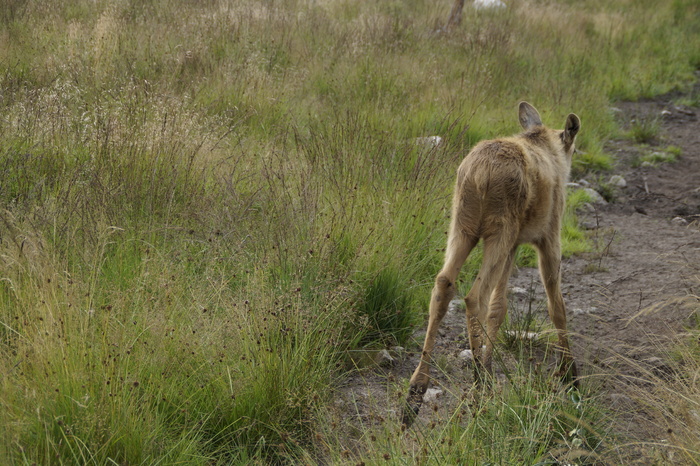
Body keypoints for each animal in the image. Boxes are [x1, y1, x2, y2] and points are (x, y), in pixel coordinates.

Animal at [402, 102, 584, 426]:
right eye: (572, 146)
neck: (545, 144)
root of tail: (479, 173)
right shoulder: (549, 235)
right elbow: (556, 306)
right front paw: (569, 374)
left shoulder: (513, 247)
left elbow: (499, 310)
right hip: (500, 229)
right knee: (475, 295)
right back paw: (479, 380)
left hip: (462, 225)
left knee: (443, 283)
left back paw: (416, 392)